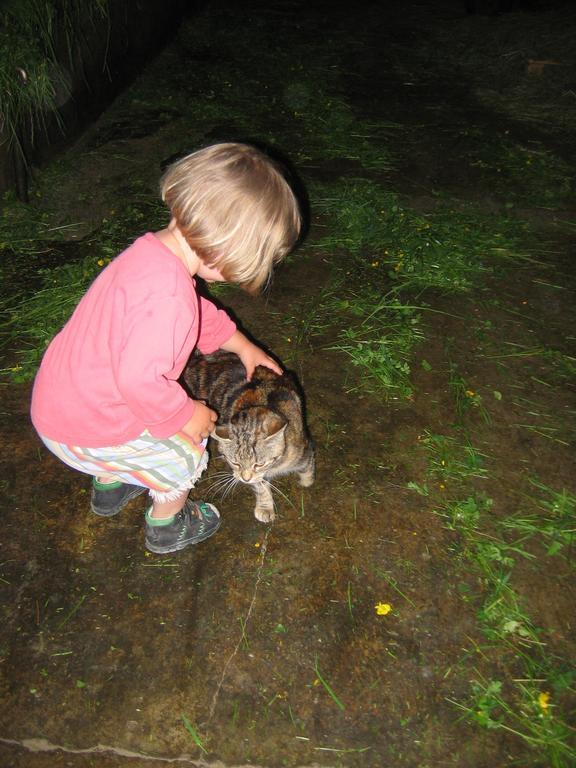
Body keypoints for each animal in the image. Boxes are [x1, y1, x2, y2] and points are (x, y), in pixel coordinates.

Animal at [182, 352, 316, 520]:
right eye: (235, 463)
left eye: (259, 464)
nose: (245, 479)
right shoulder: (256, 476)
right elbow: (261, 486)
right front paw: (265, 507)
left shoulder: (302, 447)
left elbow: (307, 464)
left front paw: (307, 480)